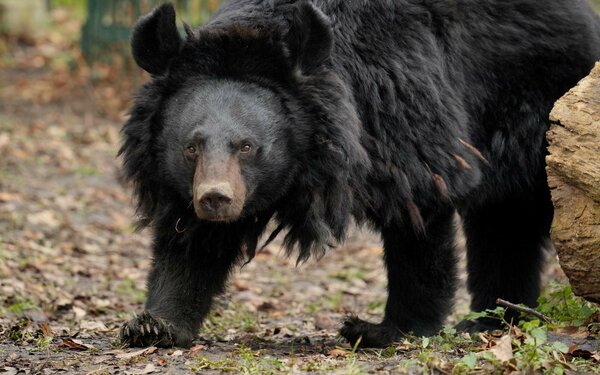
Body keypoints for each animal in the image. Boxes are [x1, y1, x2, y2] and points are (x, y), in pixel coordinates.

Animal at [117, 0, 600, 350]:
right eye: (191, 146)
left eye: (247, 146)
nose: (215, 198)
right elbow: (192, 245)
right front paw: (154, 326)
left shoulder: (403, 111)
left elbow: (418, 222)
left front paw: (384, 330)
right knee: (504, 223)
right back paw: (494, 319)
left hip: (535, 112)